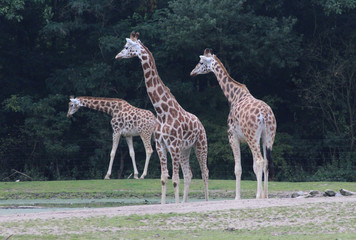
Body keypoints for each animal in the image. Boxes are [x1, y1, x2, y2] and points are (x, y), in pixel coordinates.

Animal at [115, 32, 209, 204]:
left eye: (126, 47)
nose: (117, 56)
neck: (162, 112)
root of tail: (200, 124)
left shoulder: (173, 145)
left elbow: (175, 180)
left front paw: (176, 204)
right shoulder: (161, 145)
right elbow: (164, 178)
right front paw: (165, 204)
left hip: (200, 145)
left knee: (204, 172)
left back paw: (206, 201)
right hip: (185, 149)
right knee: (189, 174)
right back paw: (185, 202)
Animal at [191, 48, 276, 199]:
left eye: (200, 62)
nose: (192, 72)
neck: (234, 96)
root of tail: (265, 115)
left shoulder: (232, 136)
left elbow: (238, 168)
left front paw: (237, 197)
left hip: (252, 137)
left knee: (259, 161)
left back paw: (258, 196)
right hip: (269, 136)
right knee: (266, 162)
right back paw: (265, 196)